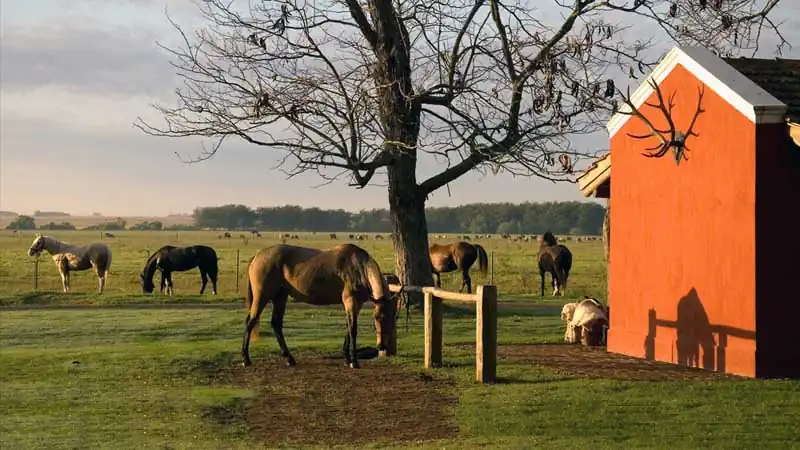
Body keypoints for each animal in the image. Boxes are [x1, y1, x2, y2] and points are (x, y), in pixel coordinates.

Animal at [239, 244, 398, 370]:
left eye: (392, 319)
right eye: (377, 318)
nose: (381, 346)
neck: (358, 266)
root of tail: (257, 256)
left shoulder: (356, 305)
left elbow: (348, 328)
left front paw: (347, 359)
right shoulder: (350, 302)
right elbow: (353, 330)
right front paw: (354, 362)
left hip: (280, 297)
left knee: (276, 324)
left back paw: (289, 359)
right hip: (262, 297)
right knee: (251, 321)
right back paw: (246, 359)